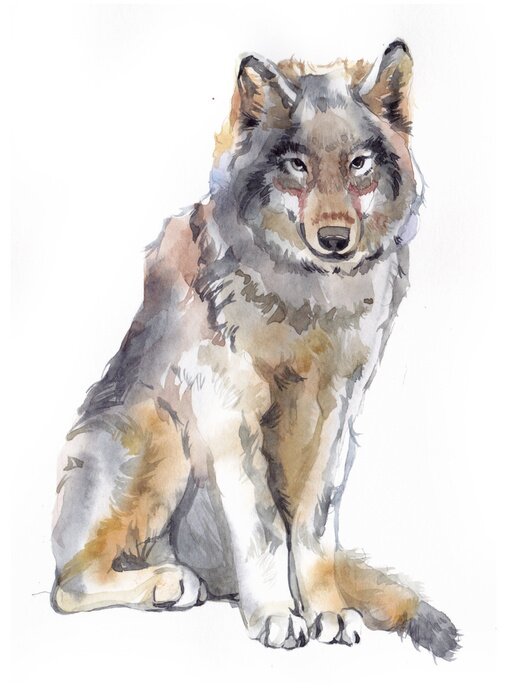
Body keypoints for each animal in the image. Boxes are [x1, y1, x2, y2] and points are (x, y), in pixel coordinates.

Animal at [52, 40, 459, 659]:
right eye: (297, 165)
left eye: (359, 164)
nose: (335, 239)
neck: (308, 297)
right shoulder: (226, 406)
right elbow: (266, 530)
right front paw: (276, 616)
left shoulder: (336, 411)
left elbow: (311, 531)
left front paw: (326, 613)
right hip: (166, 431)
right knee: (67, 585)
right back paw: (169, 582)